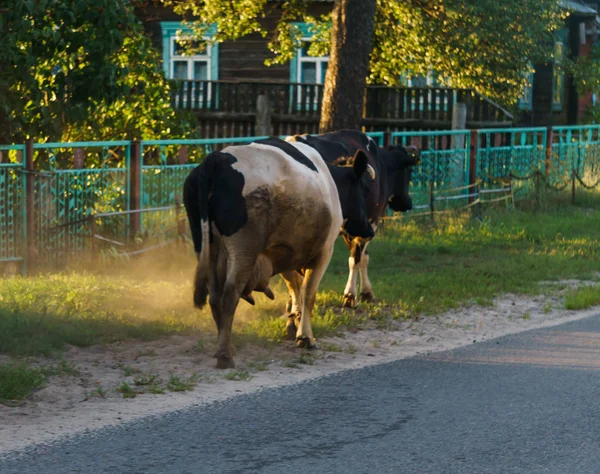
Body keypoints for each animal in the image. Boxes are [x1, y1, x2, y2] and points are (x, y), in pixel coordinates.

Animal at [184, 137, 376, 370]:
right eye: (364, 189)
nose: (369, 230)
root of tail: (214, 160)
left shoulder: (286, 252)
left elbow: (295, 288)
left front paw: (294, 322)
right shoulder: (324, 251)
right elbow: (308, 293)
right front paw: (306, 337)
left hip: (205, 246)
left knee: (214, 296)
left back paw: (227, 344)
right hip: (244, 249)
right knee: (229, 294)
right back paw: (225, 355)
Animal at [284, 130, 418, 308]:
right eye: (409, 170)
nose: (408, 203)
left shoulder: (355, 226)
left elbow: (362, 257)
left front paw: (365, 293)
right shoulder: (369, 222)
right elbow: (357, 258)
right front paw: (352, 295)